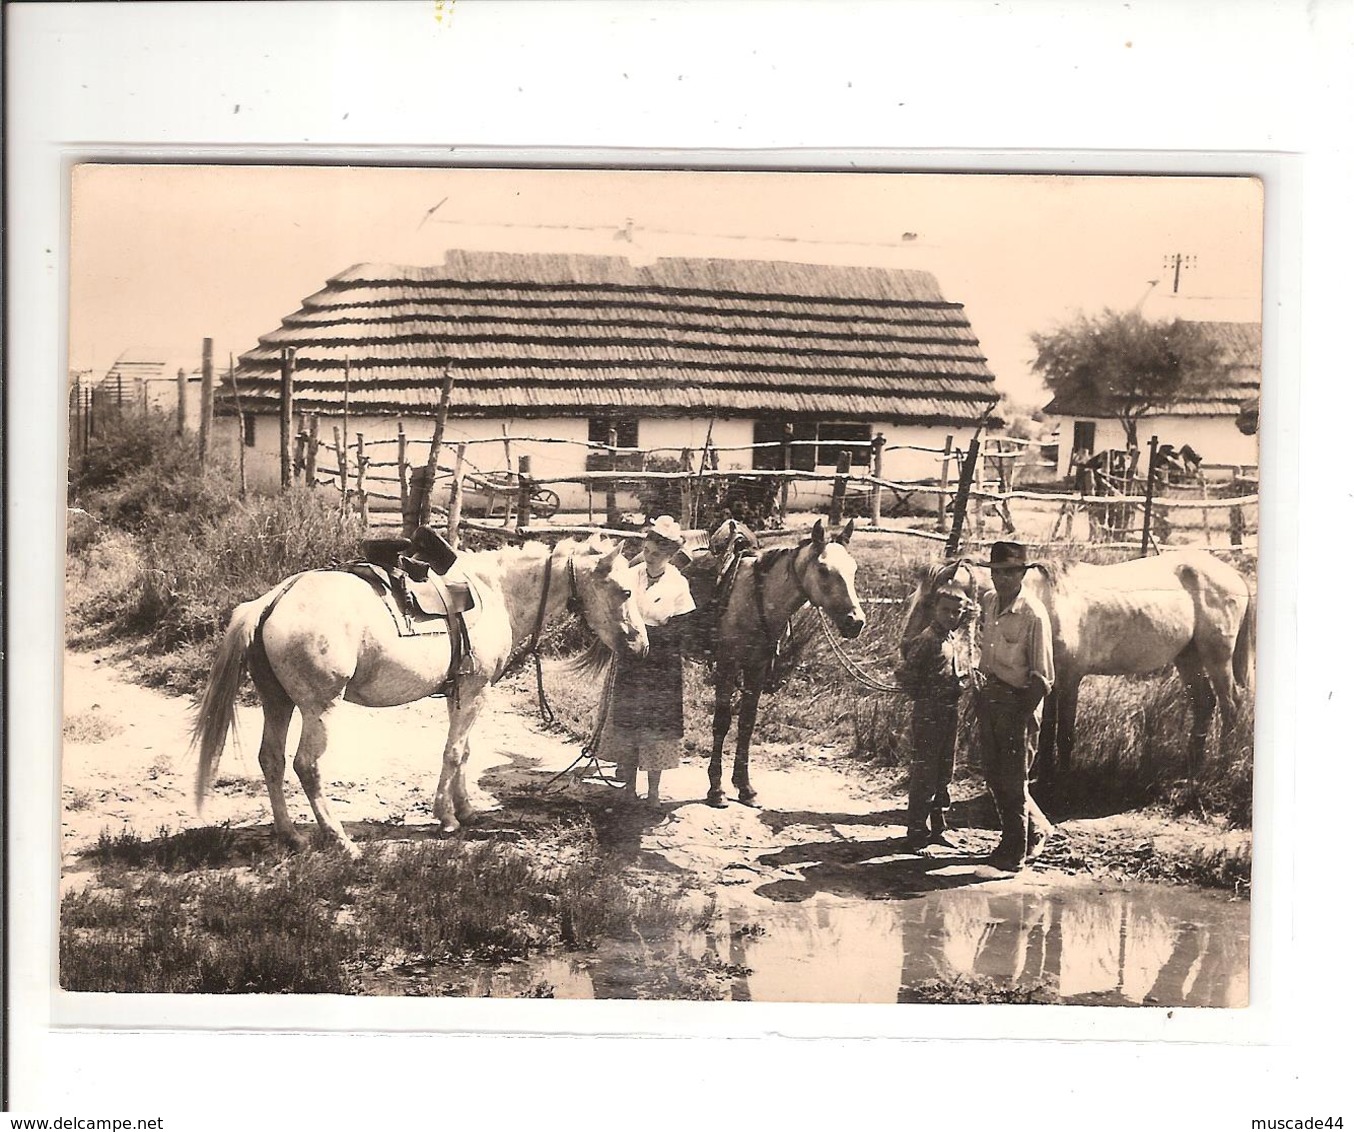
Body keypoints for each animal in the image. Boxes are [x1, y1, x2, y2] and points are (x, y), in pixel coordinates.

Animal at [192, 536, 649, 855]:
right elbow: (453, 752)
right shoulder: (474, 691)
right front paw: (446, 817)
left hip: (278, 702)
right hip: (319, 708)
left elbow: (463, 752)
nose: (641, 646)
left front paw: (465, 809)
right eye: (625, 591)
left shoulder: (462, 693)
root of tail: (274, 599)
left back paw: (291, 836)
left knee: (271, 759)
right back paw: (340, 840)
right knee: (307, 766)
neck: (496, 592)